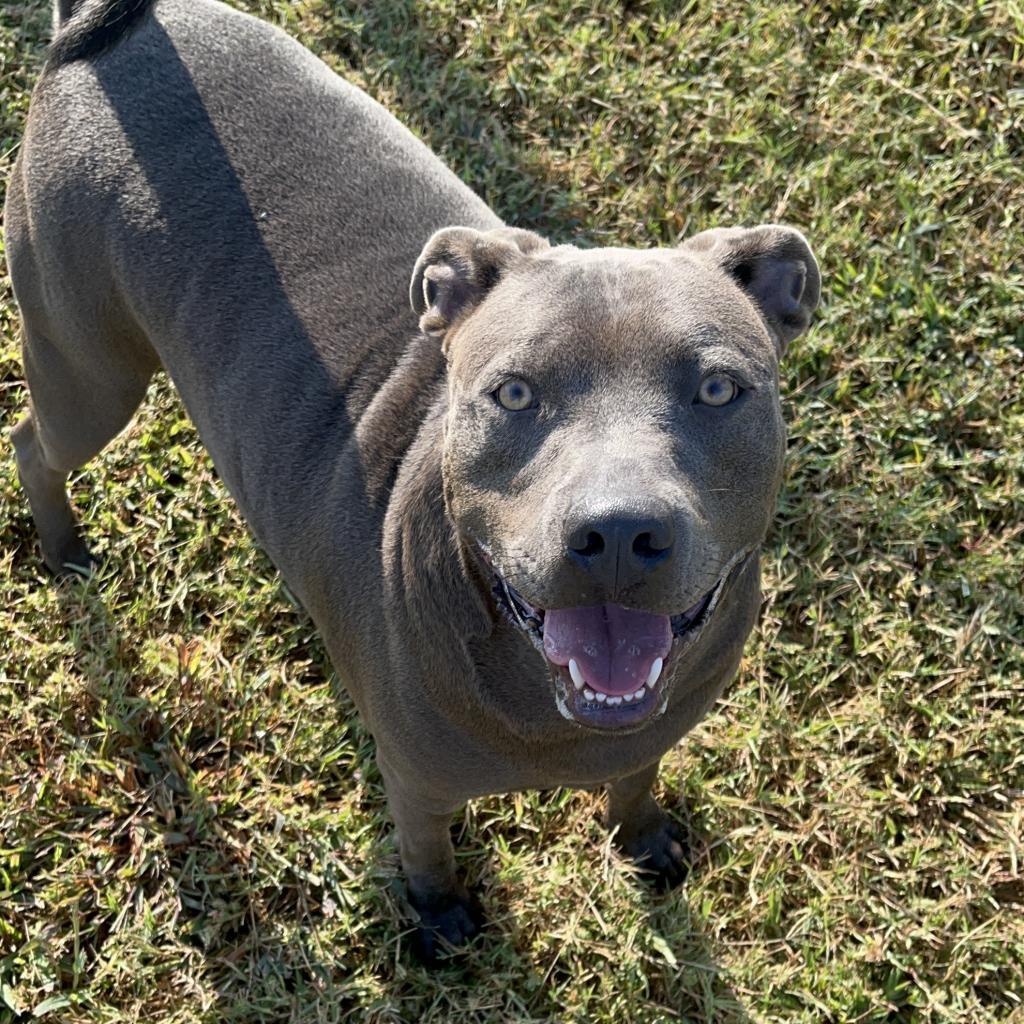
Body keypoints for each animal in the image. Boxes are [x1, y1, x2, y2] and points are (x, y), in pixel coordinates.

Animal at [6, 0, 815, 962]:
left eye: (720, 389)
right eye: (513, 392)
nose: (618, 533)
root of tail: (100, 30)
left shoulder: (652, 726)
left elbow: (636, 776)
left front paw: (641, 838)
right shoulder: (416, 780)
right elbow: (427, 849)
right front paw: (440, 920)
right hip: (88, 369)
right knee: (31, 441)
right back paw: (63, 547)